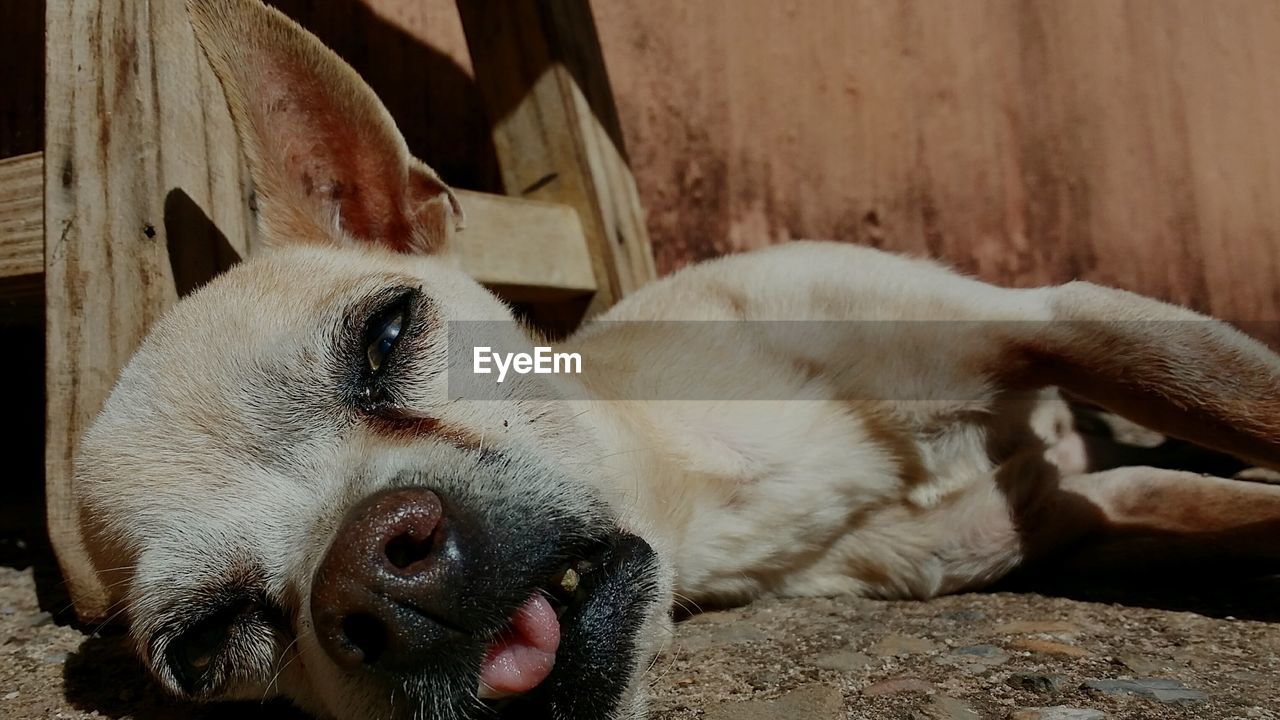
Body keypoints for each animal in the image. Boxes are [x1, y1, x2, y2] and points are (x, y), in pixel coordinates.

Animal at [72, 0, 1280, 712]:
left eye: (386, 333)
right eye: (209, 645)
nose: (368, 578)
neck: (726, 479)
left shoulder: (1056, 317)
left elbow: (1233, 396)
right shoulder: (1089, 511)